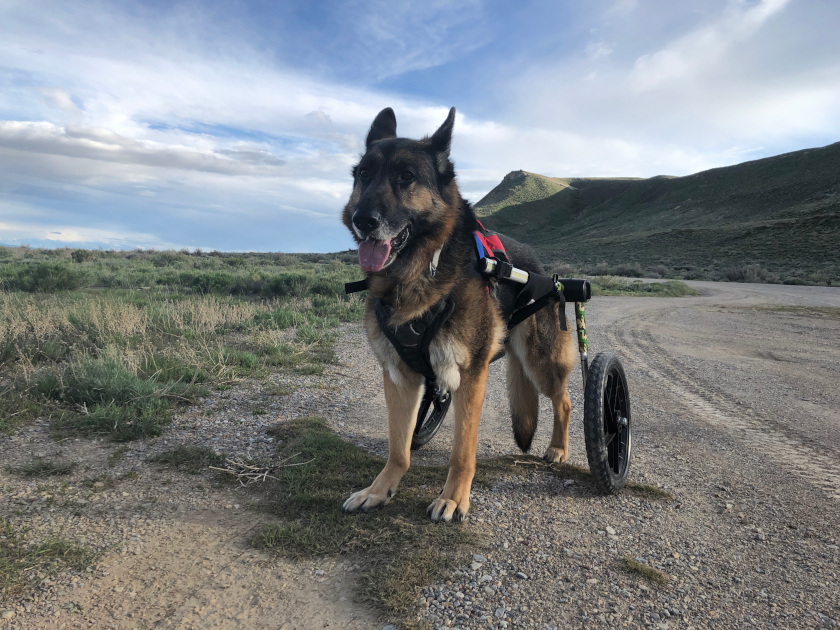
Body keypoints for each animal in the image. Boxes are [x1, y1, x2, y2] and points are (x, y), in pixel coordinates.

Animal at [342, 107, 576, 524]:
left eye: (406, 176)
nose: (362, 219)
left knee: (563, 401)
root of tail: (540, 269)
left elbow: (462, 451)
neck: (417, 273)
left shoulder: (470, 373)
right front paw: (379, 490)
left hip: (540, 359)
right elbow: (398, 448)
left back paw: (559, 449)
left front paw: (453, 499)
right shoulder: (399, 376)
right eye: (364, 174)